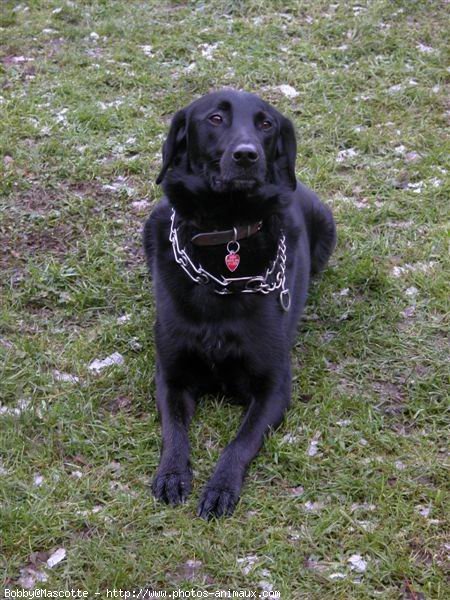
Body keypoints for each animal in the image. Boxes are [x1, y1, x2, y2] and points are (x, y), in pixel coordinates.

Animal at [142, 89, 336, 520]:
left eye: (266, 124)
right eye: (215, 118)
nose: (247, 155)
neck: (225, 234)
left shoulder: (274, 387)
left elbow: (241, 441)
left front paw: (220, 487)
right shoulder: (171, 375)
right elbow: (173, 431)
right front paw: (172, 474)